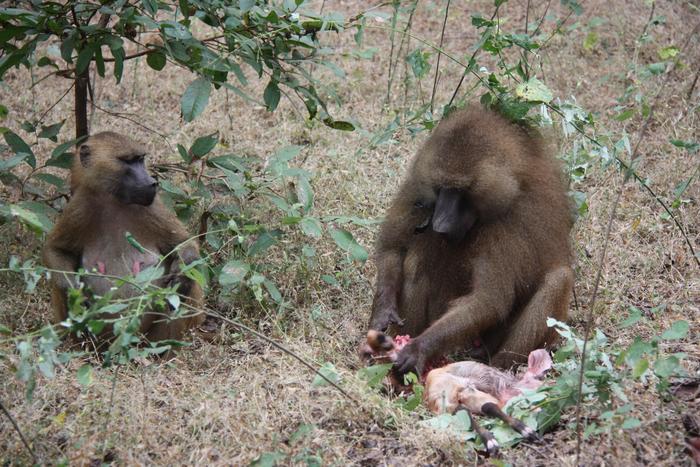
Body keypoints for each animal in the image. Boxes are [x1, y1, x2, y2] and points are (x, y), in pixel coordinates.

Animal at [43, 131, 204, 344]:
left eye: (140, 159)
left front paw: (180, 278)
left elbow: (184, 245)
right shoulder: (79, 207)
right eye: (128, 161)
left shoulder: (152, 207)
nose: (152, 183)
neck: (113, 199)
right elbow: (56, 250)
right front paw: (74, 292)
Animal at [368, 105, 574, 376]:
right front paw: (384, 310)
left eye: (462, 192)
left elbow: (487, 301)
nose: (440, 224)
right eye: (442, 187)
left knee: (558, 279)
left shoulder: (508, 224)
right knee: (417, 259)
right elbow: (393, 247)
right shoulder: (417, 188)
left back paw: (497, 371)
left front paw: (418, 349)